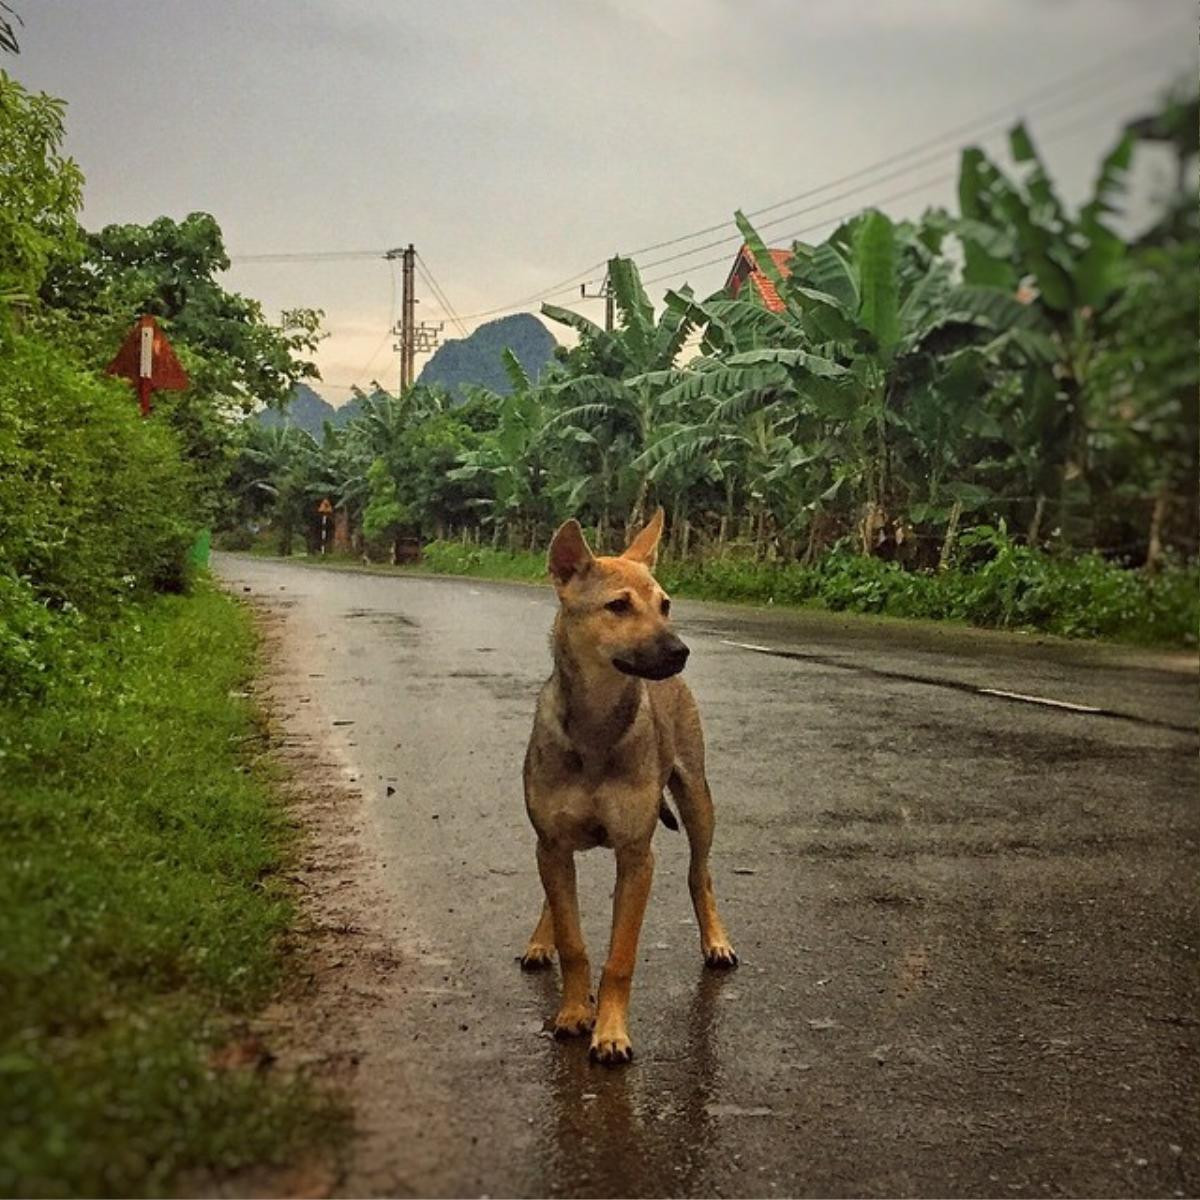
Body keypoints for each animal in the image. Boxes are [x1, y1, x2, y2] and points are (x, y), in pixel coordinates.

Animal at [520, 511, 734, 1065]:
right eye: (617, 605)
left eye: (666, 604)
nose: (680, 650)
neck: (596, 728)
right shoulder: (552, 843)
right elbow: (573, 940)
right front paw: (575, 1011)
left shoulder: (637, 855)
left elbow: (620, 956)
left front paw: (611, 1031)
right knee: (554, 897)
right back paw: (540, 940)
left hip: (697, 798)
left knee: (700, 874)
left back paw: (716, 940)